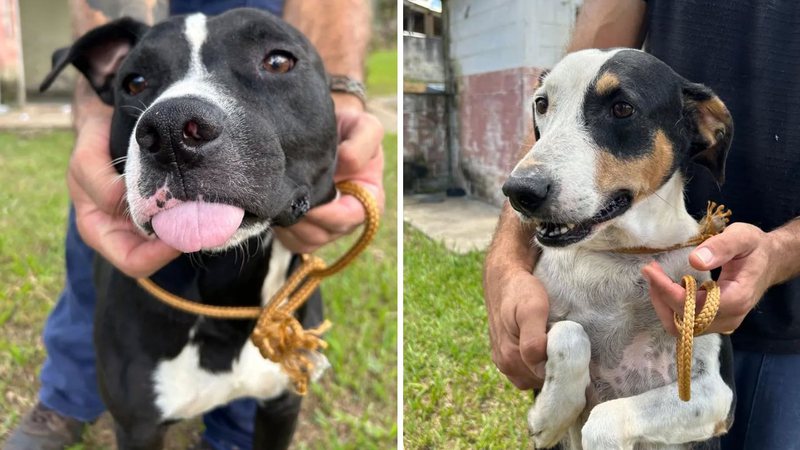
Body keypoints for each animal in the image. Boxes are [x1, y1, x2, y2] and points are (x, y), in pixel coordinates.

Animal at [40, 7, 338, 450]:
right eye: (135, 82)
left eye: (278, 61)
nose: (171, 131)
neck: (227, 284)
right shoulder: (138, 427)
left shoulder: (281, 407)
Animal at [504, 47, 736, 448]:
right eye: (542, 103)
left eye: (623, 108)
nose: (520, 191)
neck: (620, 256)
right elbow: (570, 333)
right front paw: (548, 415)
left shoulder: (715, 392)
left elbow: (605, 418)